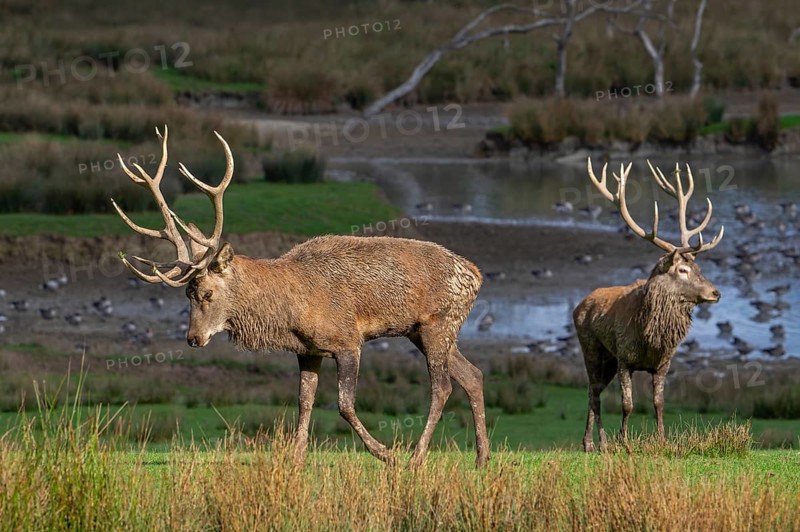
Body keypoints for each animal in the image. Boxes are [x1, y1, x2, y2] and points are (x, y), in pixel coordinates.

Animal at [110, 126, 490, 468]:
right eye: (186, 294)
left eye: (206, 293)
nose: (193, 338)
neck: (291, 313)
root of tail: (476, 274)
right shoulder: (308, 350)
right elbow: (303, 401)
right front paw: (296, 458)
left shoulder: (347, 340)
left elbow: (344, 404)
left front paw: (386, 454)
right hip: (422, 332)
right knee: (473, 374)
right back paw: (482, 457)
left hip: (439, 322)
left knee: (442, 387)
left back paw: (416, 457)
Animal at [574, 158, 724, 452]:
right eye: (682, 270)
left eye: (698, 268)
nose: (715, 293)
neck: (650, 339)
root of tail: (579, 305)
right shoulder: (624, 357)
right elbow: (627, 404)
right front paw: (625, 442)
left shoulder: (663, 363)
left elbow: (659, 403)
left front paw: (663, 440)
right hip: (592, 347)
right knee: (593, 391)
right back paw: (594, 443)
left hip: (607, 359)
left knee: (593, 390)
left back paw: (596, 443)